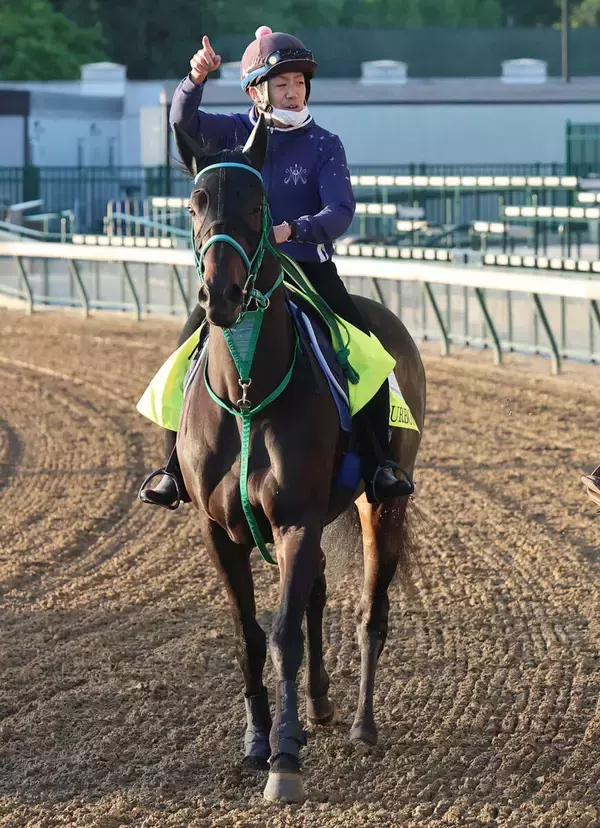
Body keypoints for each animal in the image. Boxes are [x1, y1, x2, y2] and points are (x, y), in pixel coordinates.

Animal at [172, 116, 426, 804]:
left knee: (370, 611)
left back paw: (361, 725)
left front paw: (284, 761)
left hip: (379, 506)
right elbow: (250, 635)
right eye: (195, 203)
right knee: (317, 593)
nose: (222, 294)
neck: (247, 394)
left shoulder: (294, 519)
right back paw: (317, 703)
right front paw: (258, 741)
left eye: (259, 205)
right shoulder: (217, 530)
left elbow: (283, 629)